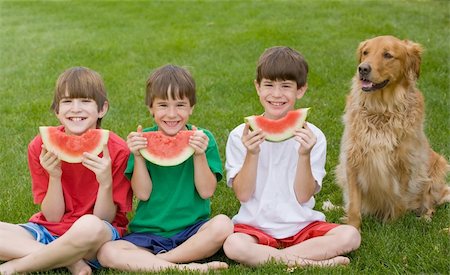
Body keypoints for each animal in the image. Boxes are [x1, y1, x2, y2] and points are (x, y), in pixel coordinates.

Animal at [336, 36, 448, 231]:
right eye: (365, 52)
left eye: (387, 55)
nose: (362, 69)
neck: (381, 110)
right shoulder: (352, 160)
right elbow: (354, 205)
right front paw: (353, 228)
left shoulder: (405, 164)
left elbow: (398, 201)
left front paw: (390, 226)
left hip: (438, 166)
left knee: (430, 203)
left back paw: (425, 218)